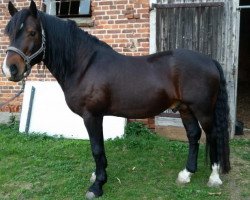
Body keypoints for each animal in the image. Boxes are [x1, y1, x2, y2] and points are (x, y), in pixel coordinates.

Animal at [1, 1, 230, 198]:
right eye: (9, 33)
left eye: (32, 32)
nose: (10, 69)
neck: (84, 65)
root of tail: (210, 60)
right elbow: (98, 147)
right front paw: (97, 175)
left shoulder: (92, 116)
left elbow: (96, 148)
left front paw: (97, 185)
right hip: (184, 108)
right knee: (193, 135)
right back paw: (186, 174)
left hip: (203, 111)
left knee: (212, 136)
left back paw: (214, 177)